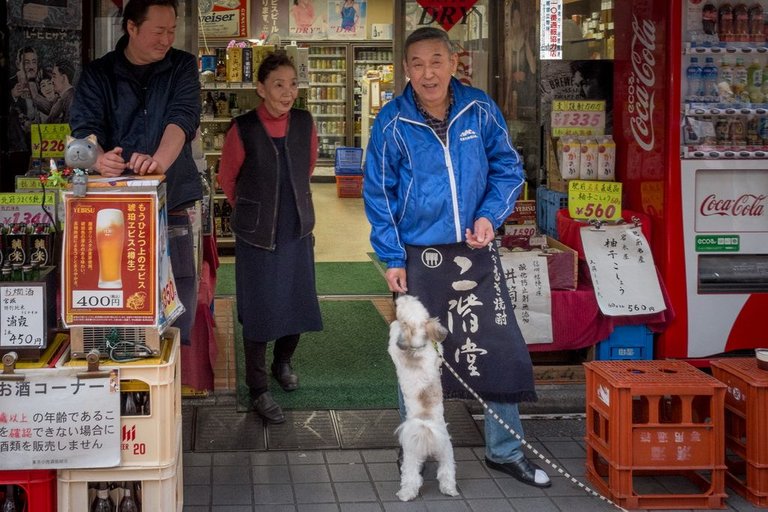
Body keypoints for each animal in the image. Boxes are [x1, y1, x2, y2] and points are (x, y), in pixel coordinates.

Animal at [388, 294, 460, 502]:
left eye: (402, 306)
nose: (402, 295)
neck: (418, 346)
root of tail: (426, 425)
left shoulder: (396, 350)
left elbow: (394, 340)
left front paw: (395, 326)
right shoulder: (435, 353)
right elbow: (439, 350)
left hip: (411, 455)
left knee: (412, 478)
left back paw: (405, 494)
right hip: (446, 452)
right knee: (446, 473)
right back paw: (450, 490)